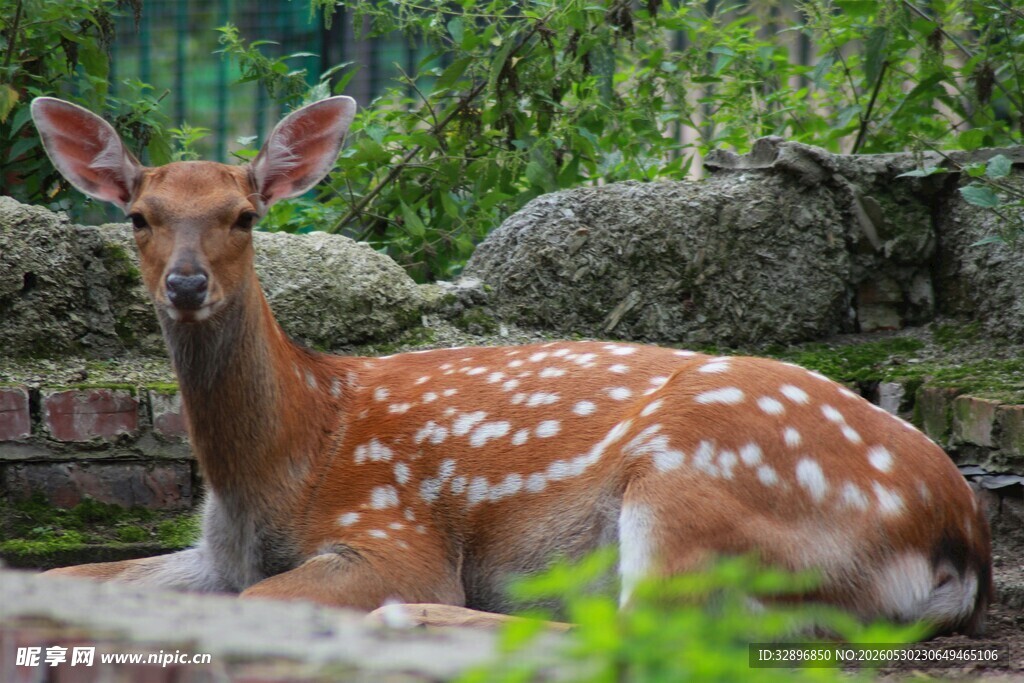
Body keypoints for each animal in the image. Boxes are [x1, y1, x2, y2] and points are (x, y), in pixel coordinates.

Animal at [29, 95, 992, 636]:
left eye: (244, 215)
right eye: (139, 216)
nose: (187, 284)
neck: (287, 456)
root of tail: (960, 539)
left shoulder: (392, 528)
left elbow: (258, 601)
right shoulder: (213, 550)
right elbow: (60, 578)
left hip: (697, 481)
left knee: (632, 631)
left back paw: (431, 617)